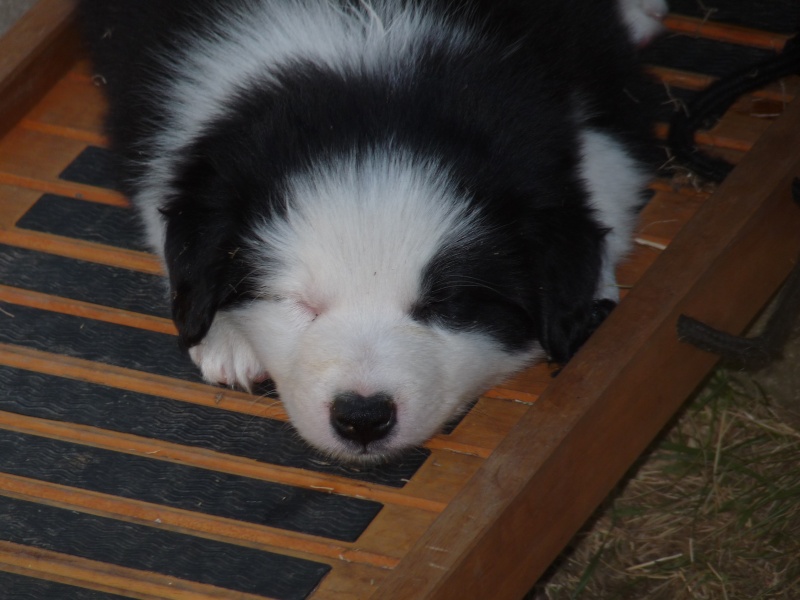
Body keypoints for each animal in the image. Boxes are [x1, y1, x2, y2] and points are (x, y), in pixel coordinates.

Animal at [76, 0, 664, 462]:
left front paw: (591, 296)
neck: (371, 78)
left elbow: (603, 185)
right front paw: (227, 336)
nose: (362, 417)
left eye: (445, 304)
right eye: (298, 302)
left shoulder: (589, 106)